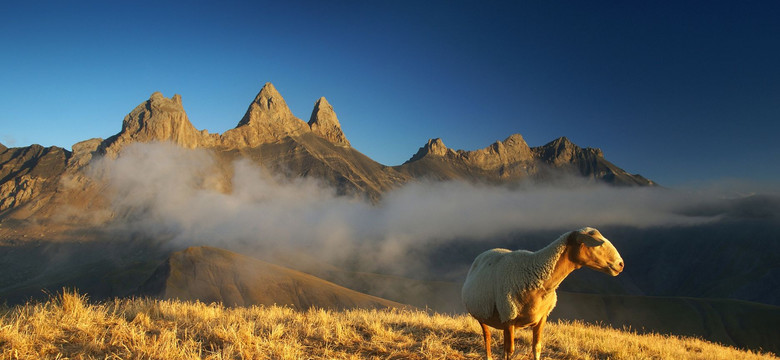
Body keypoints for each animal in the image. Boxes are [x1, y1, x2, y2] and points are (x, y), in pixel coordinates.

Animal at [464, 228, 620, 360]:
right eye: (597, 245)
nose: (621, 264)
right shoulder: (508, 316)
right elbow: (510, 352)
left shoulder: (542, 317)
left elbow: (537, 348)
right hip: (482, 314)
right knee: (487, 336)